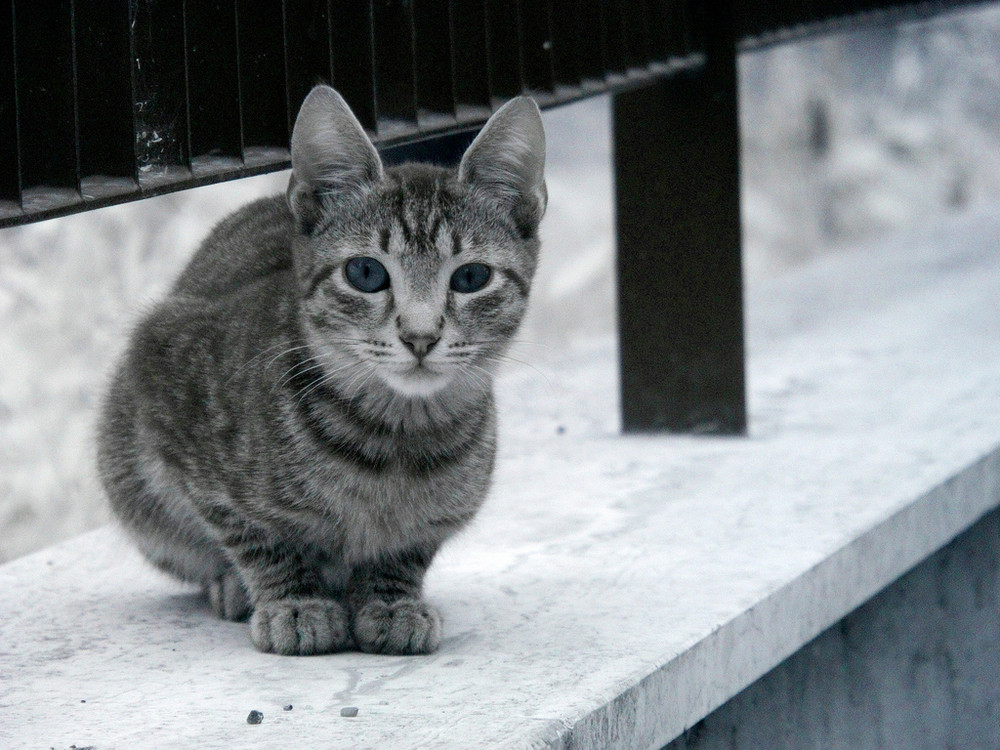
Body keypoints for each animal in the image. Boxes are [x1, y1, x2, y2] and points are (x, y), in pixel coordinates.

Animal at [97, 85, 544, 656]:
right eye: (365, 272)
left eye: (471, 277)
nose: (420, 336)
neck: (394, 442)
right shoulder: (166, 374)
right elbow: (253, 535)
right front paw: (294, 601)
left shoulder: (442, 515)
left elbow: (407, 548)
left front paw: (391, 600)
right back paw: (231, 587)